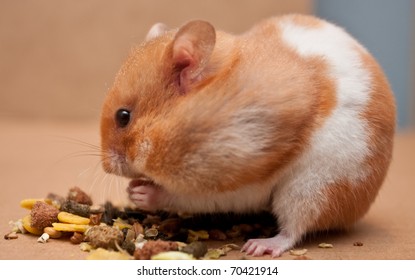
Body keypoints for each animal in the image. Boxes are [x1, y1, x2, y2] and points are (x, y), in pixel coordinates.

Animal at [100, 14, 396, 258]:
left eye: (123, 117)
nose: (106, 167)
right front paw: (132, 189)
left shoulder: (238, 178)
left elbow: (190, 197)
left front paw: (139, 192)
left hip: (313, 188)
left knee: (295, 228)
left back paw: (259, 246)